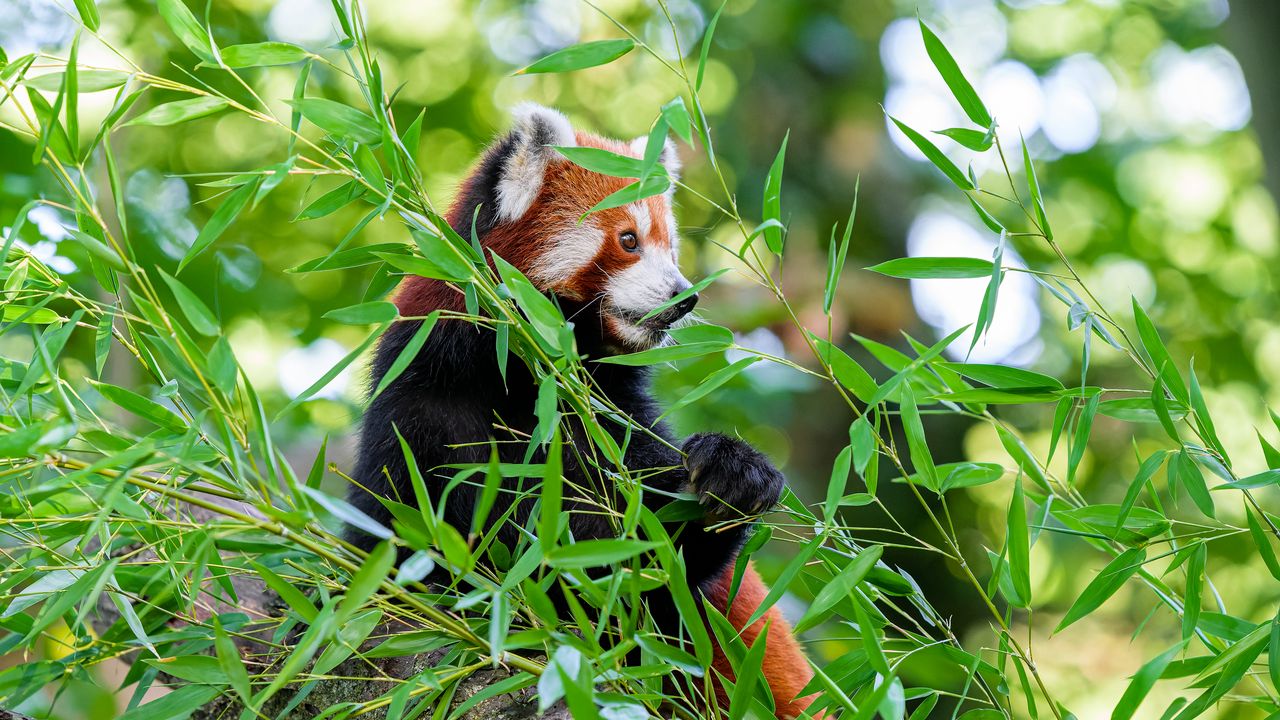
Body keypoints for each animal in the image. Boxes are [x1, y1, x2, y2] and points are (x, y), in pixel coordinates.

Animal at [345, 103, 814, 712]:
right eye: (629, 240)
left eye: (669, 247)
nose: (684, 297)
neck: (523, 381)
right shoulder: (420, 404)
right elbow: (399, 534)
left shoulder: (609, 422)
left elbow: (646, 567)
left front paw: (732, 475)